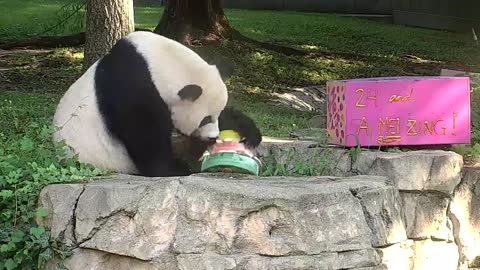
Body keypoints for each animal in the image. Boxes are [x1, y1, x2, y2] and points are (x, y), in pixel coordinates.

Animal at [52, 31, 262, 177]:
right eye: (205, 119)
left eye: (216, 115)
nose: (213, 137)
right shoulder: (132, 86)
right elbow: (143, 133)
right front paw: (174, 169)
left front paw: (248, 131)